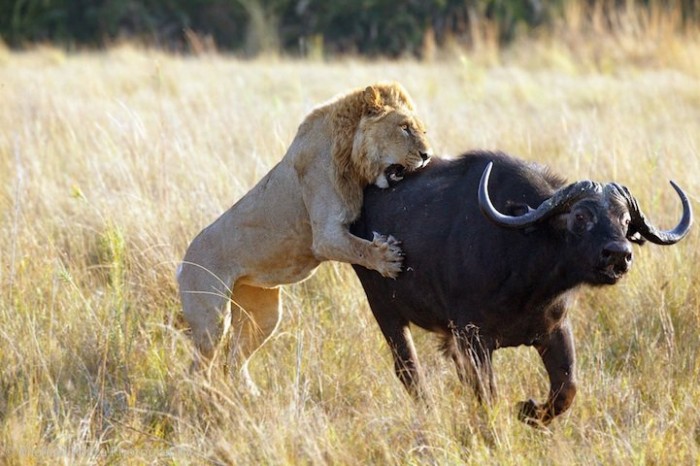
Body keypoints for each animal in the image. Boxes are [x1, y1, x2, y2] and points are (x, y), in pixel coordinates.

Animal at [178, 83, 430, 390]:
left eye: (422, 130)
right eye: (404, 128)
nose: (427, 155)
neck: (348, 151)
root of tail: (183, 262)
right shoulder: (325, 235)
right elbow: (359, 248)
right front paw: (388, 259)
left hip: (262, 314)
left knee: (235, 361)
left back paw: (250, 394)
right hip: (210, 321)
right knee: (198, 367)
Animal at [352, 152, 692, 426]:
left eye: (624, 221)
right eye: (581, 216)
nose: (619, 254)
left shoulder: (555, 329)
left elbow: (567, 388)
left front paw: (528, 411)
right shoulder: (474, 338)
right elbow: (487, 394)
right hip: (385, 311)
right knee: (409, 371)